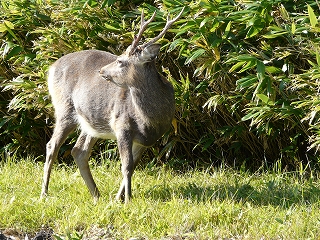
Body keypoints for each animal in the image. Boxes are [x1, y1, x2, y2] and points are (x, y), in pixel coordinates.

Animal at [41, 9, 184, 204]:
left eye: (120, 61)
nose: (101, 70)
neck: (151, 118)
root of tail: (51, 67)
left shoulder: (147, 139)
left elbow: (133, 165)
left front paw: (118, 199)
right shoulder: (121, 124)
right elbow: (126, 165)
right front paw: (128, 200)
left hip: (91, 121)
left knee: (79, 151)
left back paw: (96, 195)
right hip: (64, 109)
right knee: (52, 145)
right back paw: (44, 194)